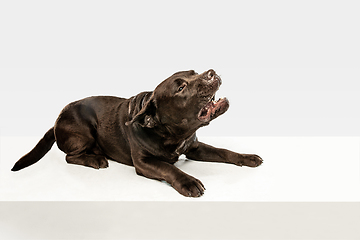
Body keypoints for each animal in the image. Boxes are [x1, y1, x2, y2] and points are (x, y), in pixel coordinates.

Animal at [12, 69, 262, 197]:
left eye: (194, 72)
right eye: (181, 87)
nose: (210, 72)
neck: (171, 134)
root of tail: (55, 121)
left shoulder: (194, 147)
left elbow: (223, 151)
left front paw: (246, 157)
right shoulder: (144, 162)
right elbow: (169, 168)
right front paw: (188, 181)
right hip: (85, 131)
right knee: (69, 156)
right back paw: (95, 159)